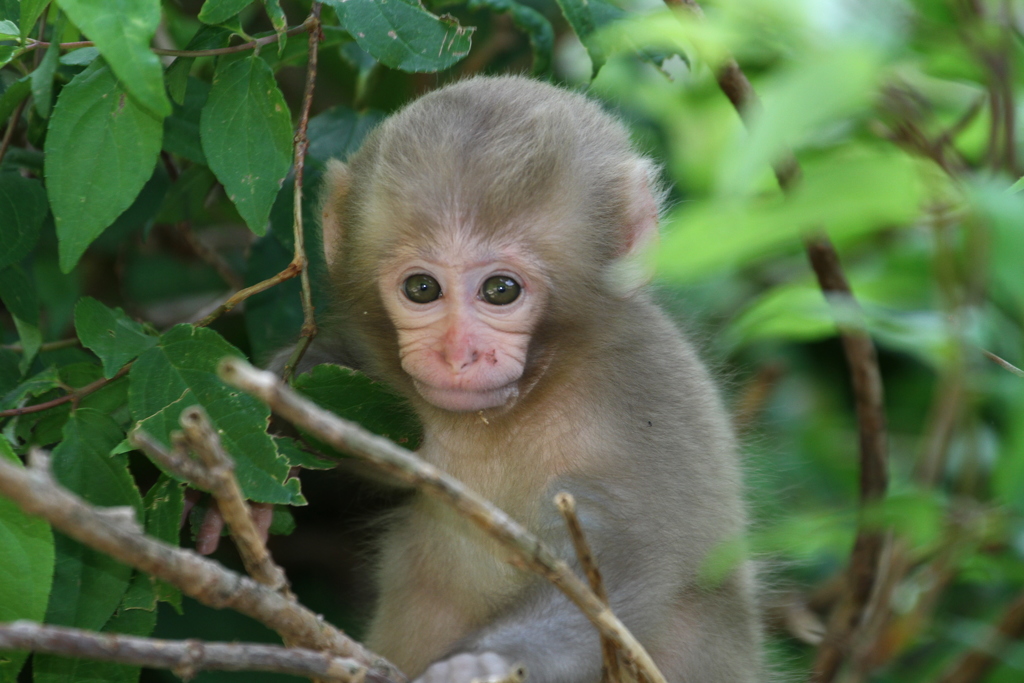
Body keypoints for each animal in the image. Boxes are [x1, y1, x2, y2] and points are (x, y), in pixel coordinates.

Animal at [319, 77, 761, 679]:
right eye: (422, 289)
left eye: (500, 290)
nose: (458, 354)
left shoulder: (641, 393)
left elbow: (622, 566)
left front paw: (482, 663)